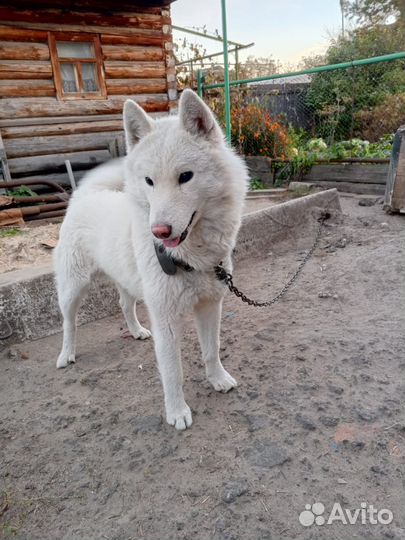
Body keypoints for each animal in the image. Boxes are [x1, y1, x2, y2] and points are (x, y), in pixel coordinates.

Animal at [53, 92, 248, 430]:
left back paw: (136, 330)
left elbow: (211, 350)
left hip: (126, 281)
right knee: (69, 323)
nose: (159, 231)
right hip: (73, 289)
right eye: (149, 181)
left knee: (124, 305)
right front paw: (177, 412)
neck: (190, 256)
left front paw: (218, 379)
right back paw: (67, 355)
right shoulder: (166, 318)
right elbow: (173, 371)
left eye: (185, 177)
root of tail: (85, 196)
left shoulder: (210, 305)